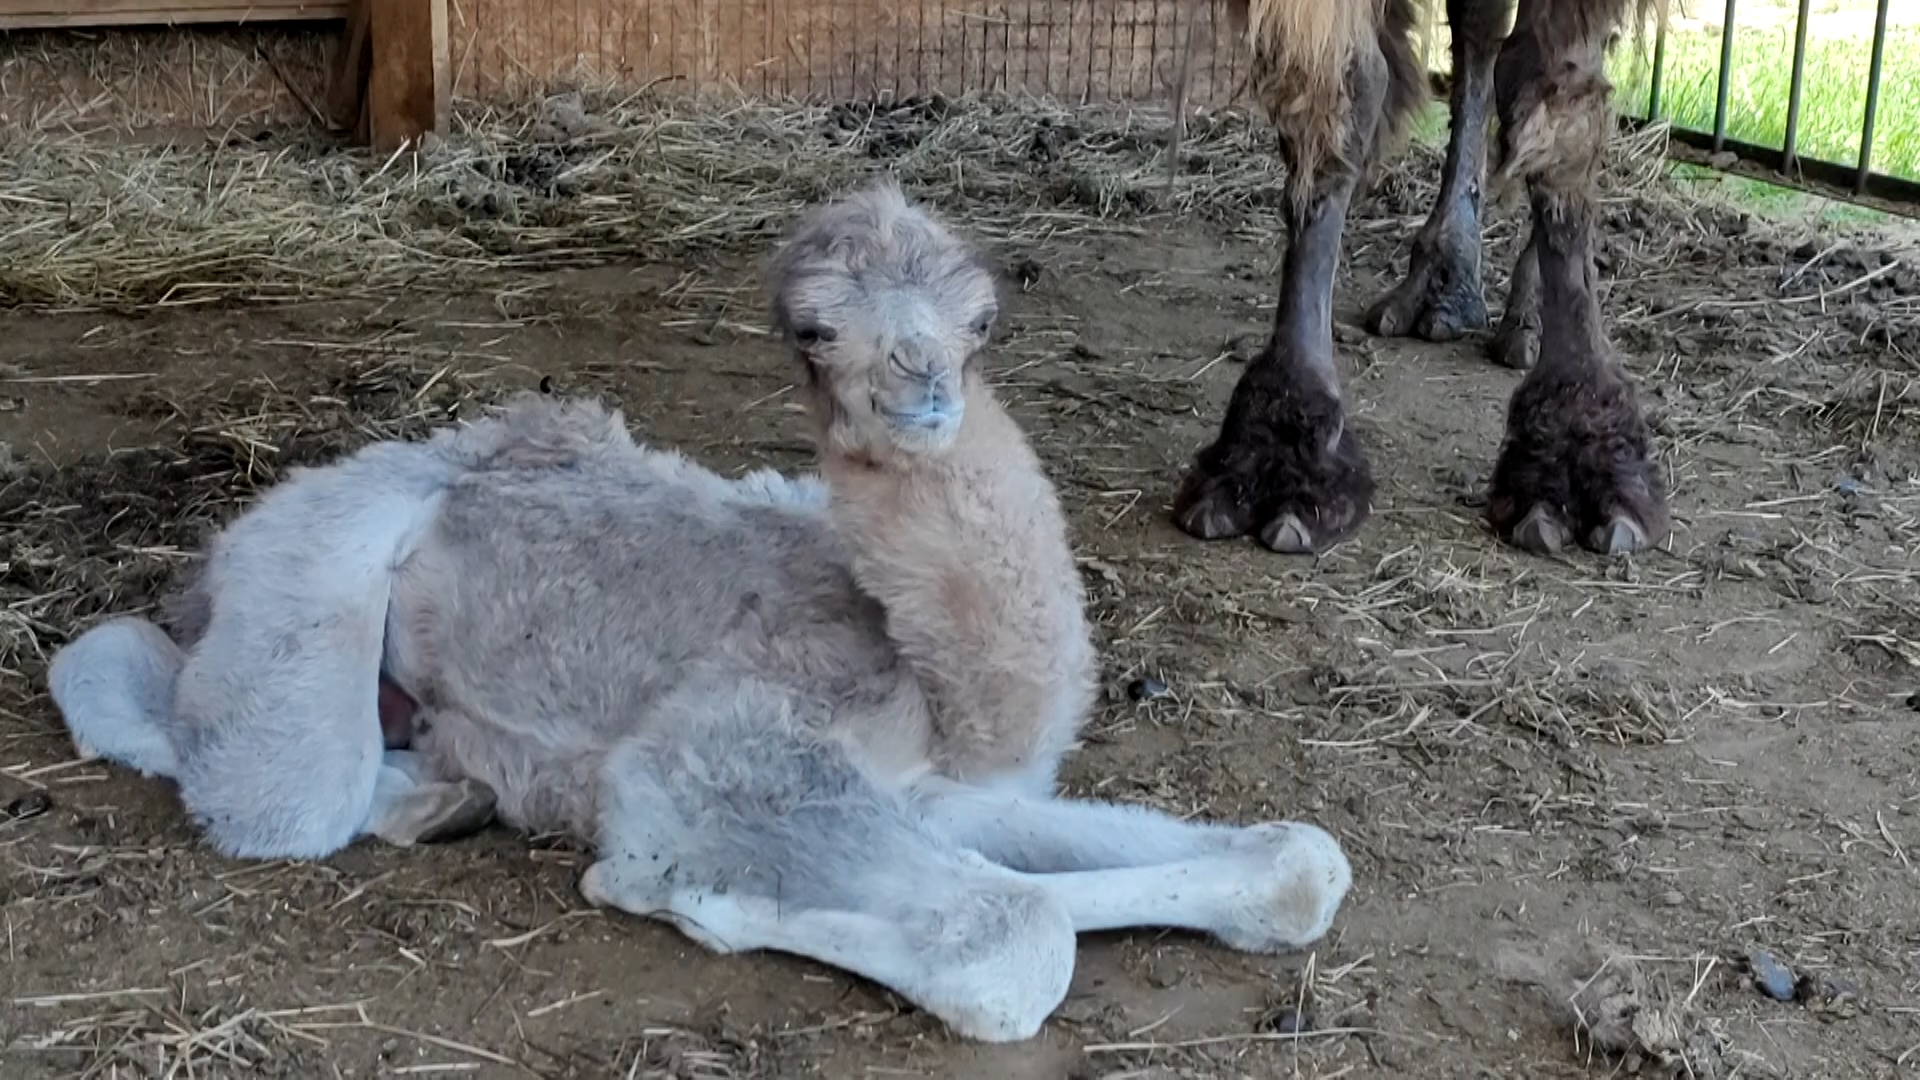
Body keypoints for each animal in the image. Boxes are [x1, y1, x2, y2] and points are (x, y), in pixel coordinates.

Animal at [56, 180, 1351, 1037]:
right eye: (817, 330)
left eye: (979, 320)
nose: (923, 389)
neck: (929, 675)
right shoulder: (725, 756)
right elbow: (1020, 940)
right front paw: (683, 891)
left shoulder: (951, 790)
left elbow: (1297, 864)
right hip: (301, 590)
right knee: (203, 733)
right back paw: (423, 794)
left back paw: (447, 789)